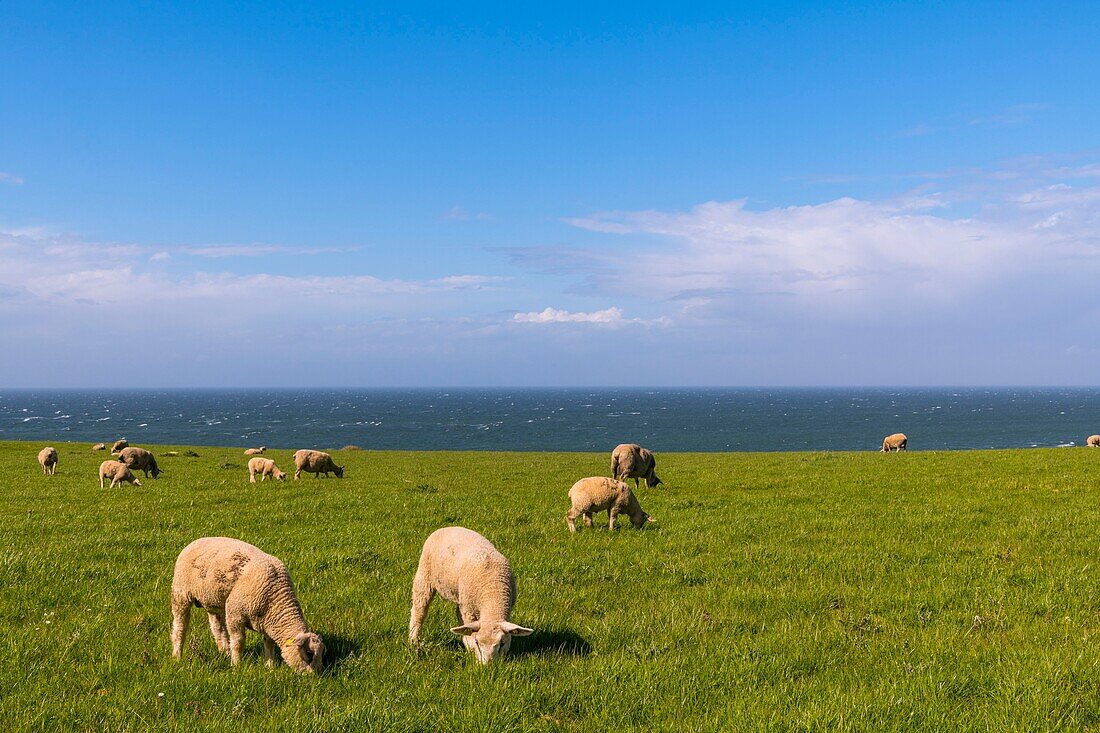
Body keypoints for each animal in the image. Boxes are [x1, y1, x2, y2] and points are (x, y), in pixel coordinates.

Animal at [167, 534, 321, 669]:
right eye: (309, 654)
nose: (313, 678)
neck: (277, 600)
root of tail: (195, 541)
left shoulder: (268, 620)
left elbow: (269, 644)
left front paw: (270, 667)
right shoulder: (236, 615)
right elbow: (238, 642)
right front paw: (236, 665)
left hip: (213, 600)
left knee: (217, 627)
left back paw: (224, 652)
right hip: (181, 593)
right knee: (180, 627)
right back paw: (177, 656)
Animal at [411, 526, 534, 660]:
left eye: (502, 643)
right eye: (477, 643)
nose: (489, 664)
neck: (492, 591)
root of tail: (447, 528)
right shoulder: (470, 611)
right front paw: (472, 650)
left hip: (461, 595)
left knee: (458, 612)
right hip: (424, 575)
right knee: (419, 610)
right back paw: (414, 640)